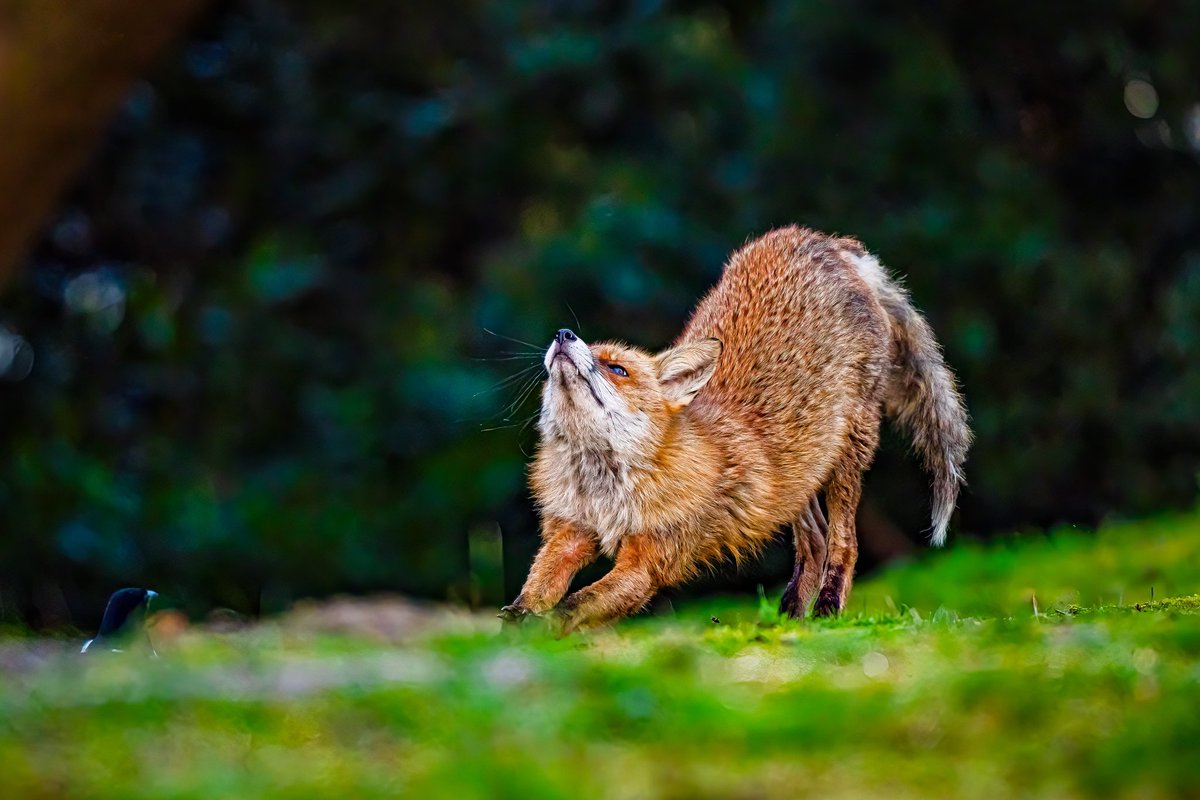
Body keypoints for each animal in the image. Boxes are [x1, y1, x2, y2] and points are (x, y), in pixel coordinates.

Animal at [501, 224, 969, 633]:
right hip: (798, 473)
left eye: (617, 369)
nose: (564, 334)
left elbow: (578, 602)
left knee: (844, 542)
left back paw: (827, 609)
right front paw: (515, 624)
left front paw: (543, 628)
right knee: (814, 541)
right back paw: (790, 617)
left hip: (848, 452)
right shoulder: (569, 532)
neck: (602, 490)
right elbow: (537, 587)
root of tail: (823, 239)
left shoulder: (651, 560)